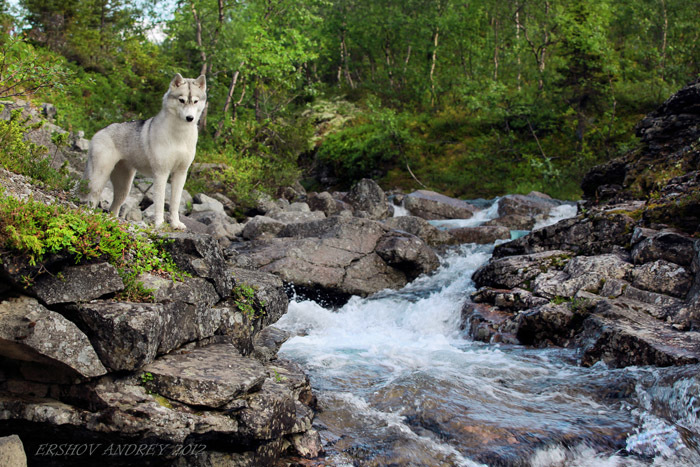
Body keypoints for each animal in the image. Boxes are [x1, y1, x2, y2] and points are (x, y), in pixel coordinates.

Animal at [83, 72, 206, 230]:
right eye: (182, 100)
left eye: (195, 101)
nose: (189, 118)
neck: (179, 136)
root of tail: (99, 131)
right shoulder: (161, 173)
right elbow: (160, 203)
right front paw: (159, 224)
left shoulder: (180, 173)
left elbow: (175, 203)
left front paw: (175, 224)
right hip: (99, 179)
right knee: (92, 200)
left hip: (124, 188)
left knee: (113, 209)